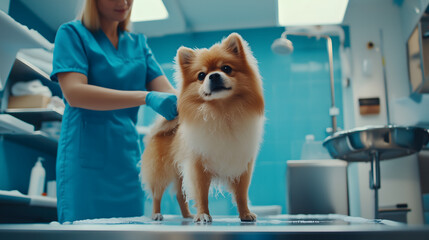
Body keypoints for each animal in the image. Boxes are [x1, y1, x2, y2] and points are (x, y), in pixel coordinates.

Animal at [140, 32, 262, 223]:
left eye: (226, 68)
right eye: (201, 75)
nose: (214, 76)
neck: (222, 112)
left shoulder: (242, 165)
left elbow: (241, 194)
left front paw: (245, 214)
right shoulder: (197, 165)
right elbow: (201, 194)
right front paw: (203, 215)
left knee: (180, 195)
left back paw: (187, 215)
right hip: (161, 170)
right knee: (157, 194)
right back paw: (156, 214)